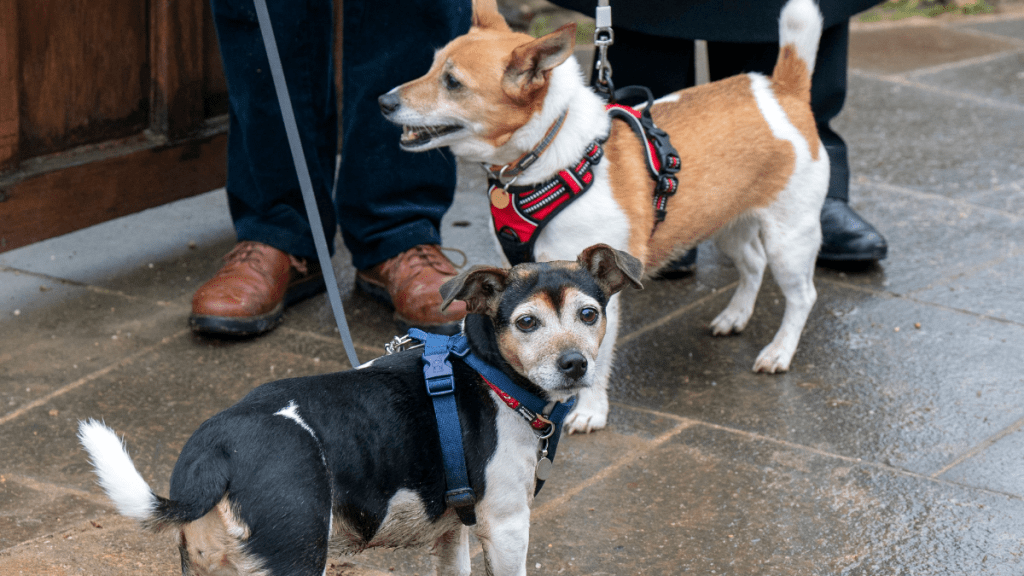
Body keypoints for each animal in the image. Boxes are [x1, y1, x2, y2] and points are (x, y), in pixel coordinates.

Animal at [77, 241, 638, 573]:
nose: (575, 365)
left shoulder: (453, 531)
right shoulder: (505, 526)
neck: (491, 371)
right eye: (526, 323)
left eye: (589, 314)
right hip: (297, 556)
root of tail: (216, 453)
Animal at [380, 0, 827, 430]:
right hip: (727, 222)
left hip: (790, 238)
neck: (548, 155)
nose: (384, 102)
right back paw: (735, 315)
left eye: (453, 82)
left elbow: (593, 353)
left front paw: (590, 411)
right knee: (753, 263)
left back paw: (779, 351)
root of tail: (781, 90)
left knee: (802, 295)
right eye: (432, 66)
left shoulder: (598, 292)